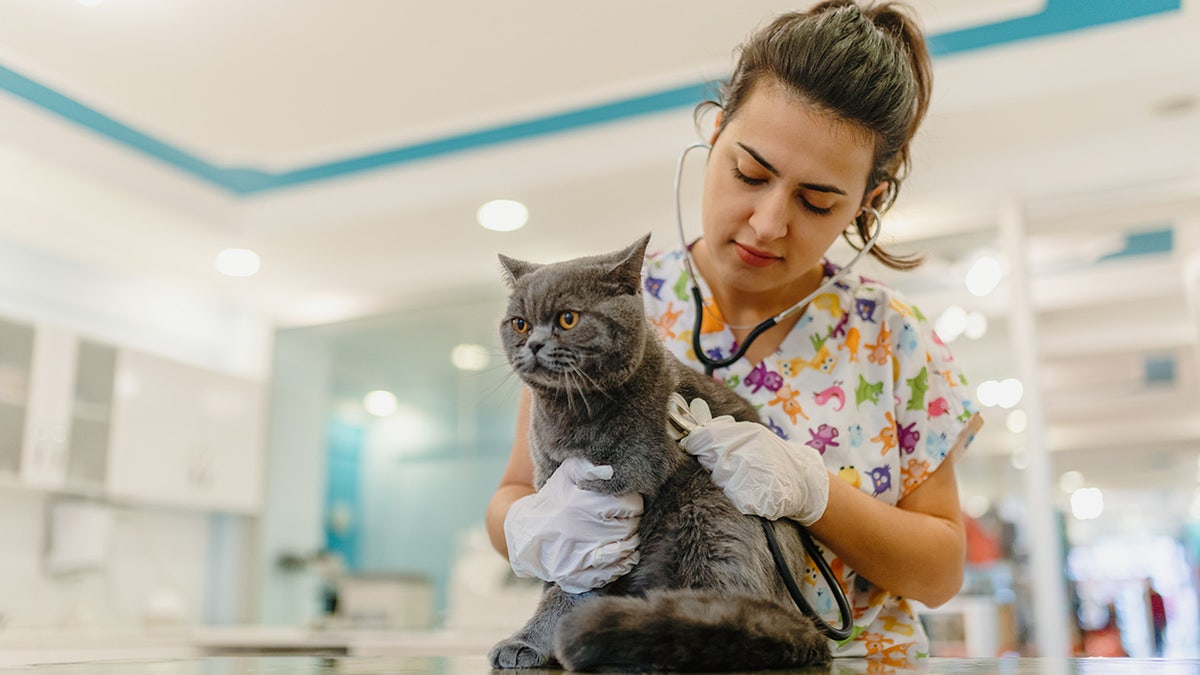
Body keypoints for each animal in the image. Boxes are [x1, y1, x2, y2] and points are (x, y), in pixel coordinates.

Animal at [489, 234, 835, 667]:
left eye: (568, 319)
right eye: (519, 323)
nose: (533, 343)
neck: (570, 412)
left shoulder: (622, 484)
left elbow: (575, 588)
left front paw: (529, 642)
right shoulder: (552, 484)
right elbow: (558, 566)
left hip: (710, 510)